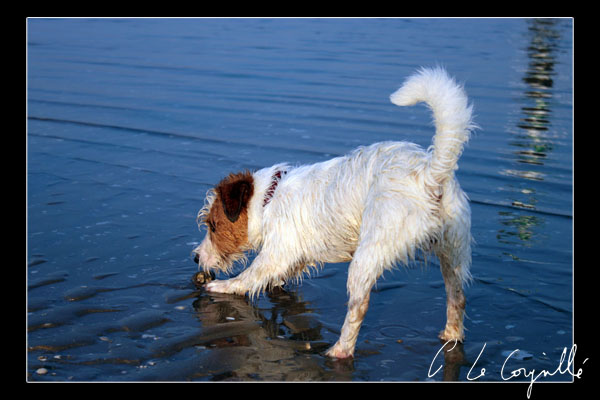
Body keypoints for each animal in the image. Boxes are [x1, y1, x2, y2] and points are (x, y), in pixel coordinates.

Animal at [195, 67, 476, 358]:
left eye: (213, 226)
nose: (196, 257)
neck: (268, 198)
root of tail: (430, 176)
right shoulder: (295, 255)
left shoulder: (276, 252)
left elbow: (250, 276)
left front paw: (223, 286)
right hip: (453, 252)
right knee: (457, 296)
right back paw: (452, 335)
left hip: (368, 253)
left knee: (358, 306)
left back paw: (340, 350)